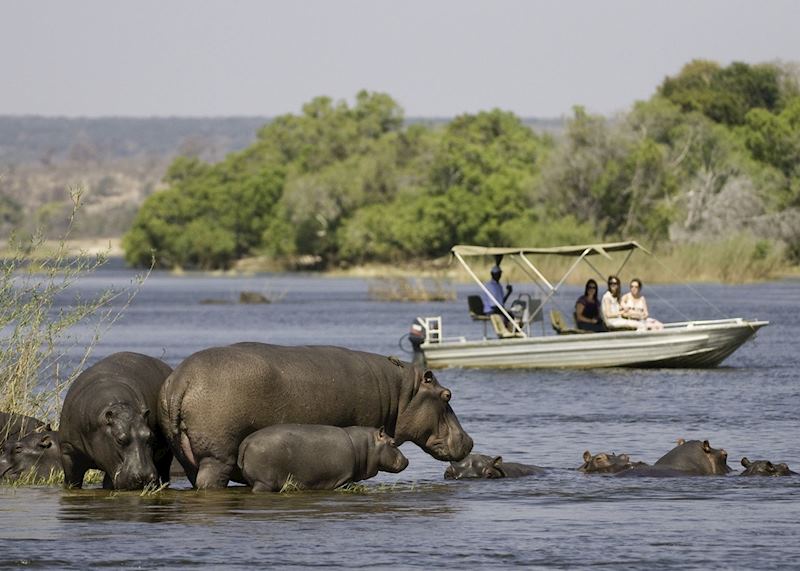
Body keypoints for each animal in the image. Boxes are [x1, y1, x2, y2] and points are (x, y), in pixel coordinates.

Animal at [59, 352, 174, 490]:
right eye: (120, 439)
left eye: (150, 436)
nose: (144, 478)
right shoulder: (68, 450)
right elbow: (72, 480)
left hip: (166, 456)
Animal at [238, 424, 409, 492]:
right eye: (393, 442)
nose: (407, 460)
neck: (366, 446)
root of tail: (246, 441)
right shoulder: (344, 478)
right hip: (264, 482)